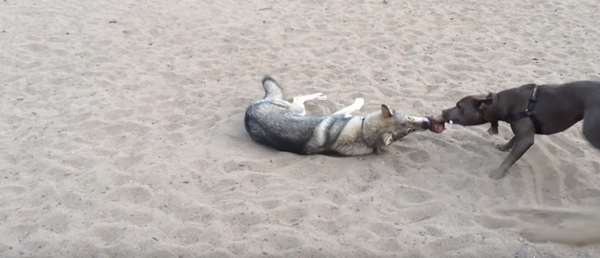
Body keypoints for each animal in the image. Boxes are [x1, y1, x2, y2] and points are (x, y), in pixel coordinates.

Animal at [244, 74, 446, 155]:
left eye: (411, 129)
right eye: (409, 120)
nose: (427, 124)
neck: (364, 133)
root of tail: (249, 112)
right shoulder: (340, 114)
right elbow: (353, 105)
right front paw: (359, 100)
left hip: (298, 110)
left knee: (299, 97)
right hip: (298, 109)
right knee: (299, 97)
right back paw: (320, 95)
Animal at [440, 81, 600, 179]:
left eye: (459, 106)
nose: (443, 111)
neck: (502, 104)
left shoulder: (526, 139)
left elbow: (509, 159)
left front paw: (498, 173)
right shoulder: (522, 131)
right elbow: (512, 139)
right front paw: (504, 147)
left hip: (590, 129)